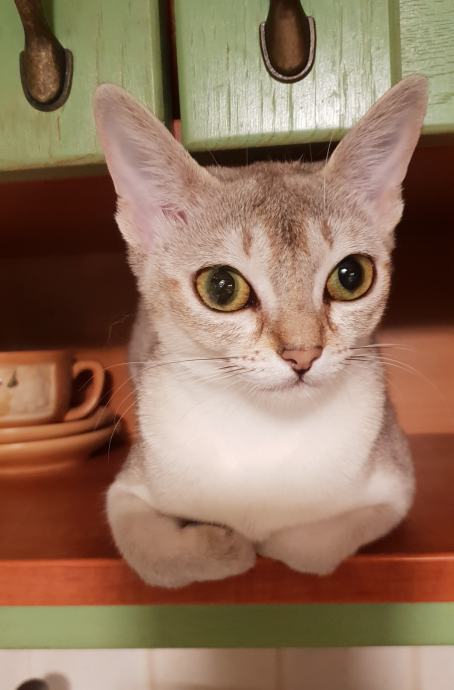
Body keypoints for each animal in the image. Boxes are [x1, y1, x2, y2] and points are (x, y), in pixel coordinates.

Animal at [94, 75, 427, 588]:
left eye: (351, 276)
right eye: (221, 286)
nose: (303, 354)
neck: (265, 435)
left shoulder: (395, 489)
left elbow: (311, 545)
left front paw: (267, 545)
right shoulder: (126, 493)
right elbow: (149, 554)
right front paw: (227, 547)